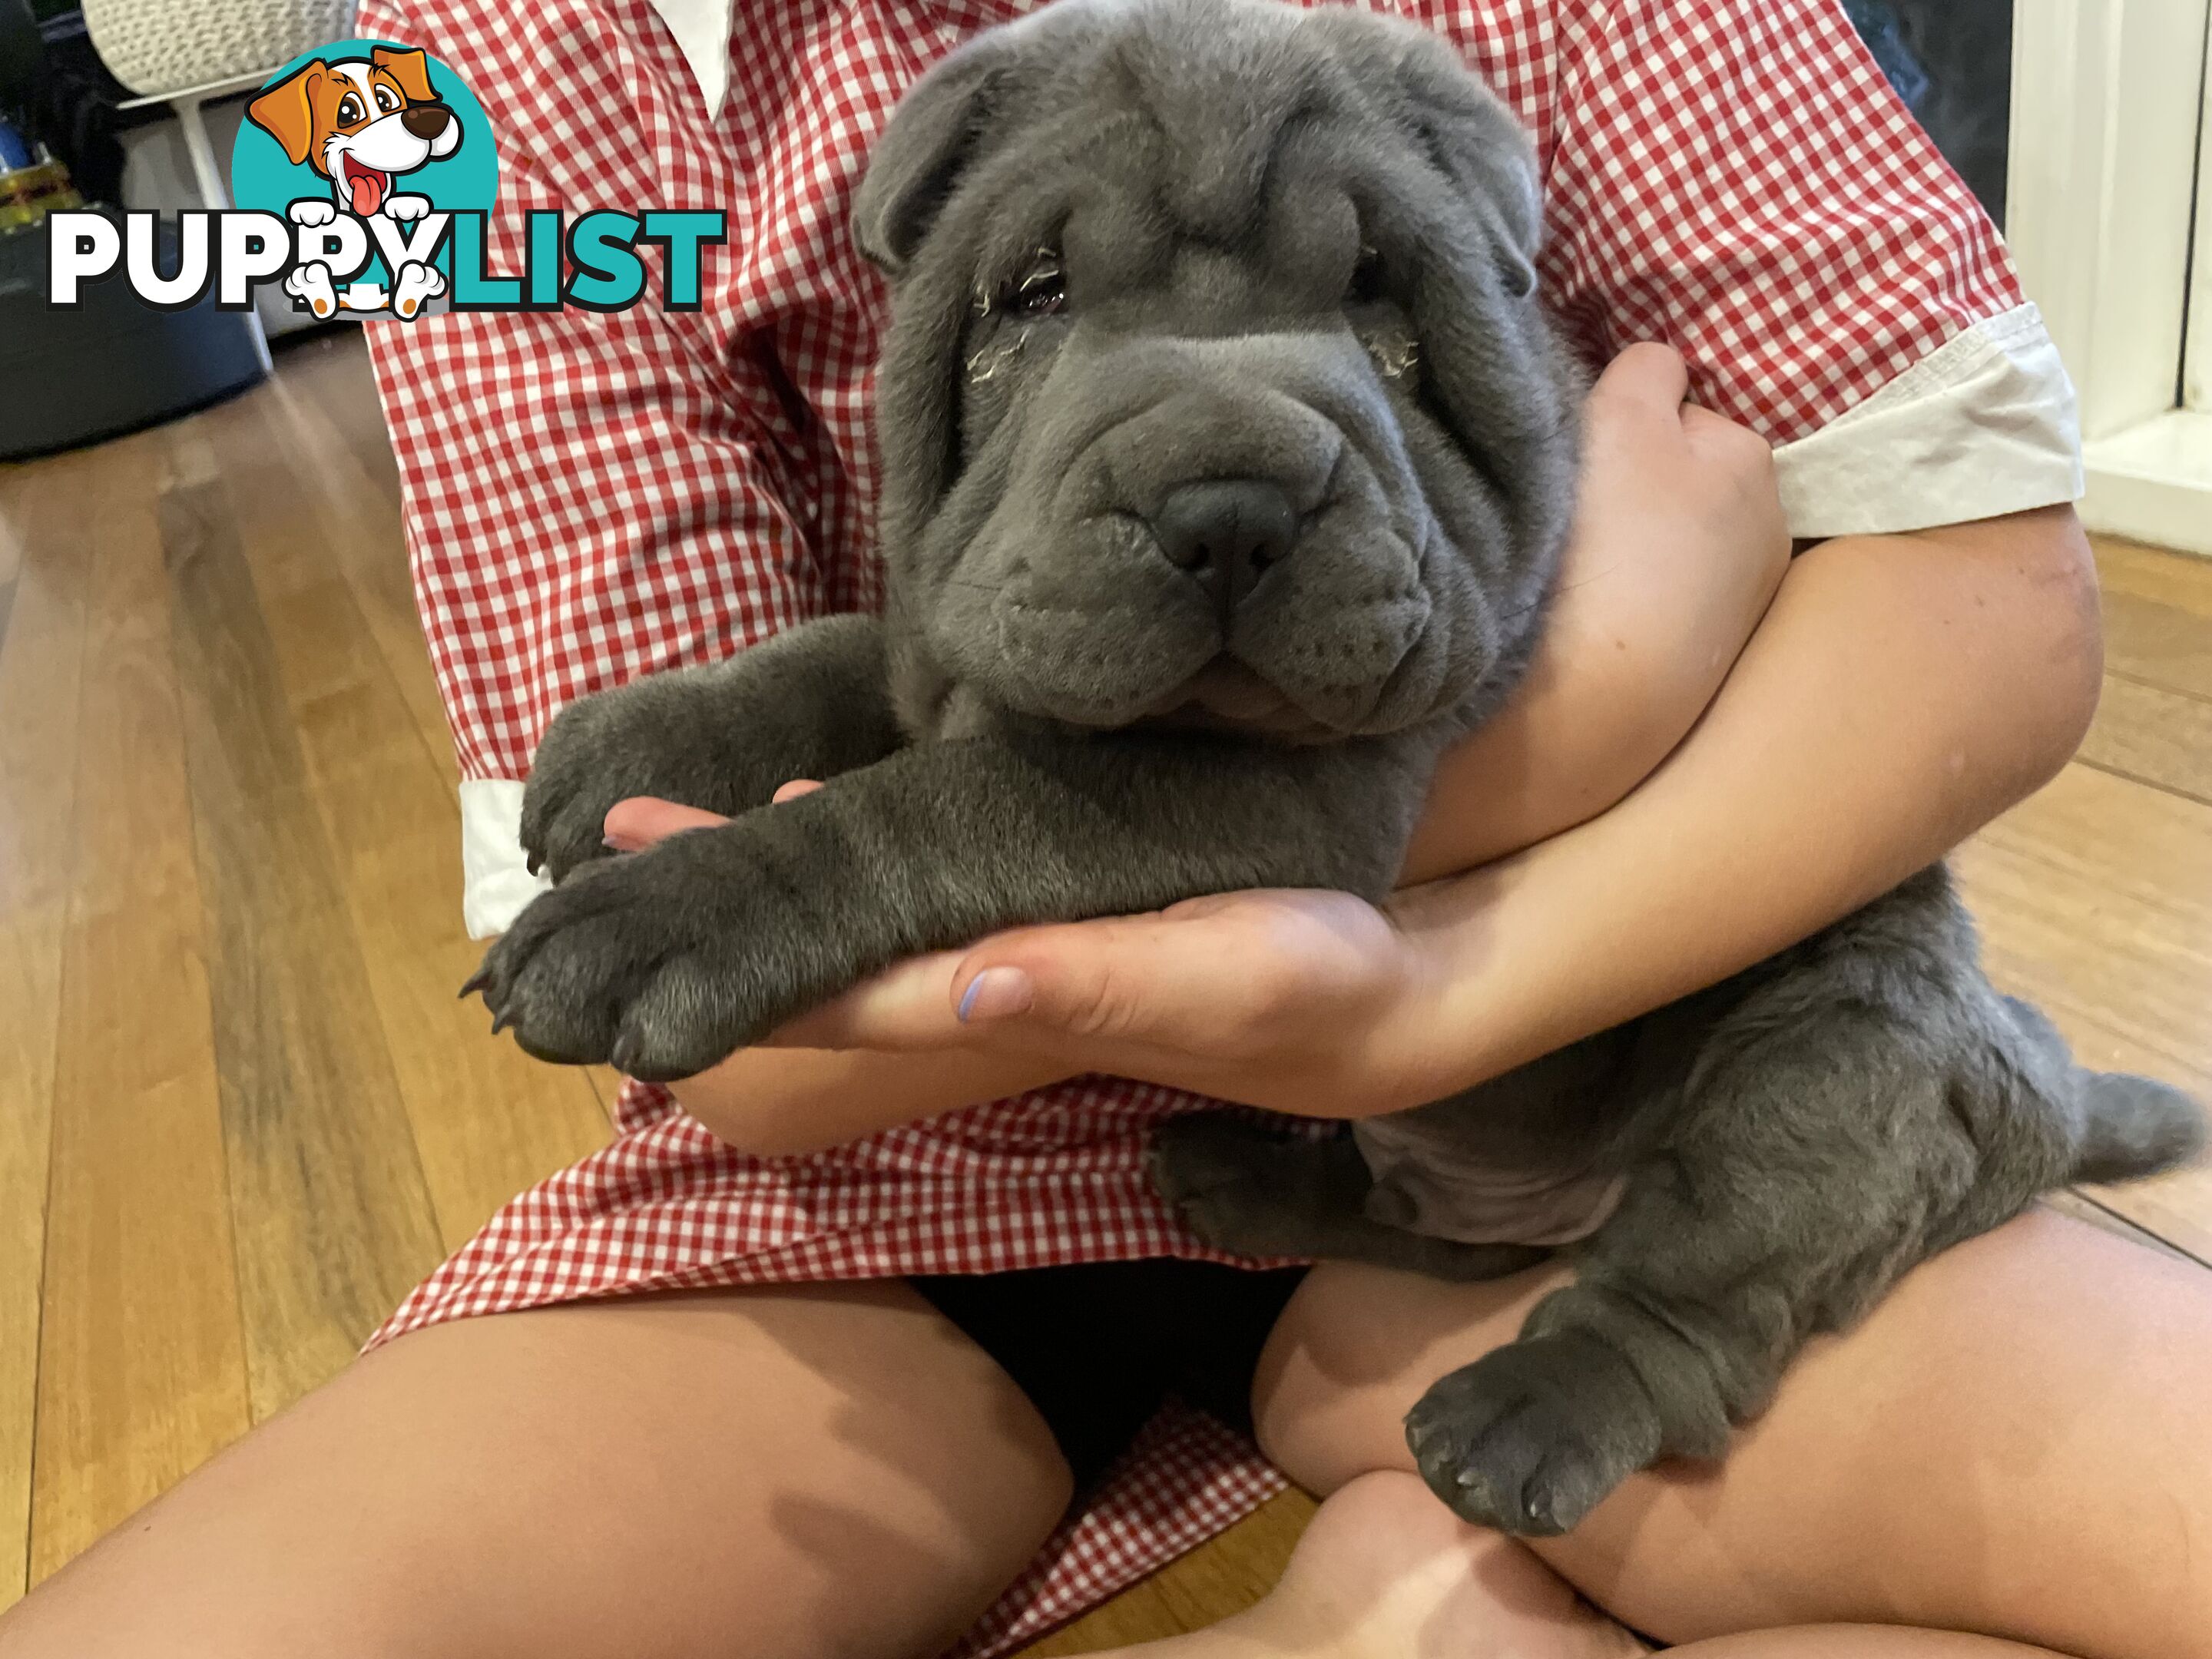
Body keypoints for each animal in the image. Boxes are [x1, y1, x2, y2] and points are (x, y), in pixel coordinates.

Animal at [466, 0, 2194, 1530]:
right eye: (1035, 293)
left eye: (1381, 294)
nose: (1228, 503)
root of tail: (2039, 1091)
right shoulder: (960, 612)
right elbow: (836, 655)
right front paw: (648, 731)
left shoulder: (1267, 788)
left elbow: (930, 807)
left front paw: (672, 907)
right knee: (1433, 1237)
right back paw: (1245, 1177)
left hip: (1839, 1054)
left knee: (1700, 1284)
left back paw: (1527, 1411)